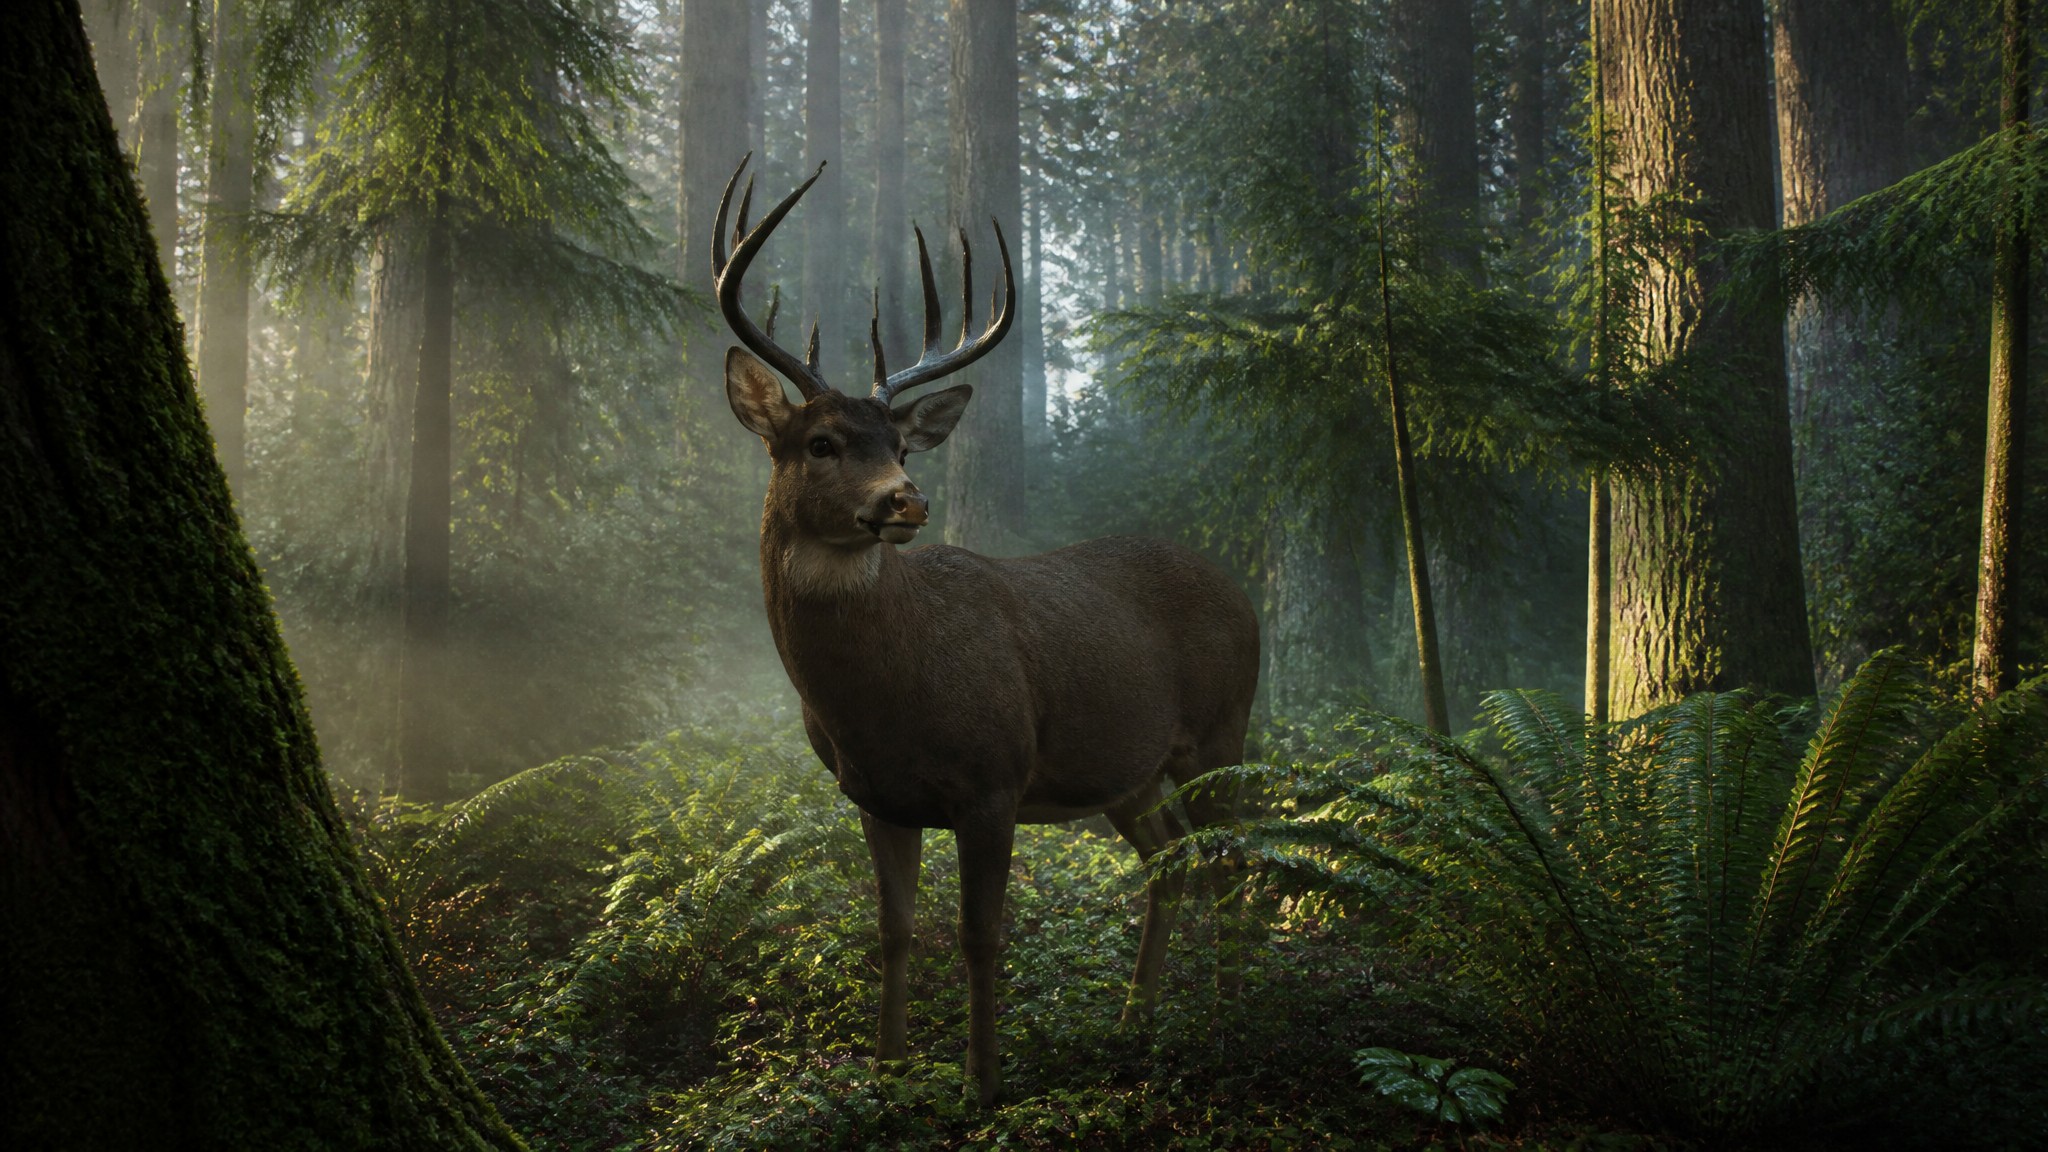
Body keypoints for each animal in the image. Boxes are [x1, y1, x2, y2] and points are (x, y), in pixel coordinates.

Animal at [710, 156, 1259, 1108]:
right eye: (821, 443)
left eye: (901, 445)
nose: (905, 500)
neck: (884, 695)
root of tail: (1246, 593)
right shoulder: (873, 795)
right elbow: (892, 930)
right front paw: (888, 1069)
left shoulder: (994, 777)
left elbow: (979, 934)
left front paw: (981, 1081)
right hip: (1126, 771)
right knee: (1172, 857)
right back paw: (1136, 1018)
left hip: (1224, 729)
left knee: (1225, 859)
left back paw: (1223, 1017)